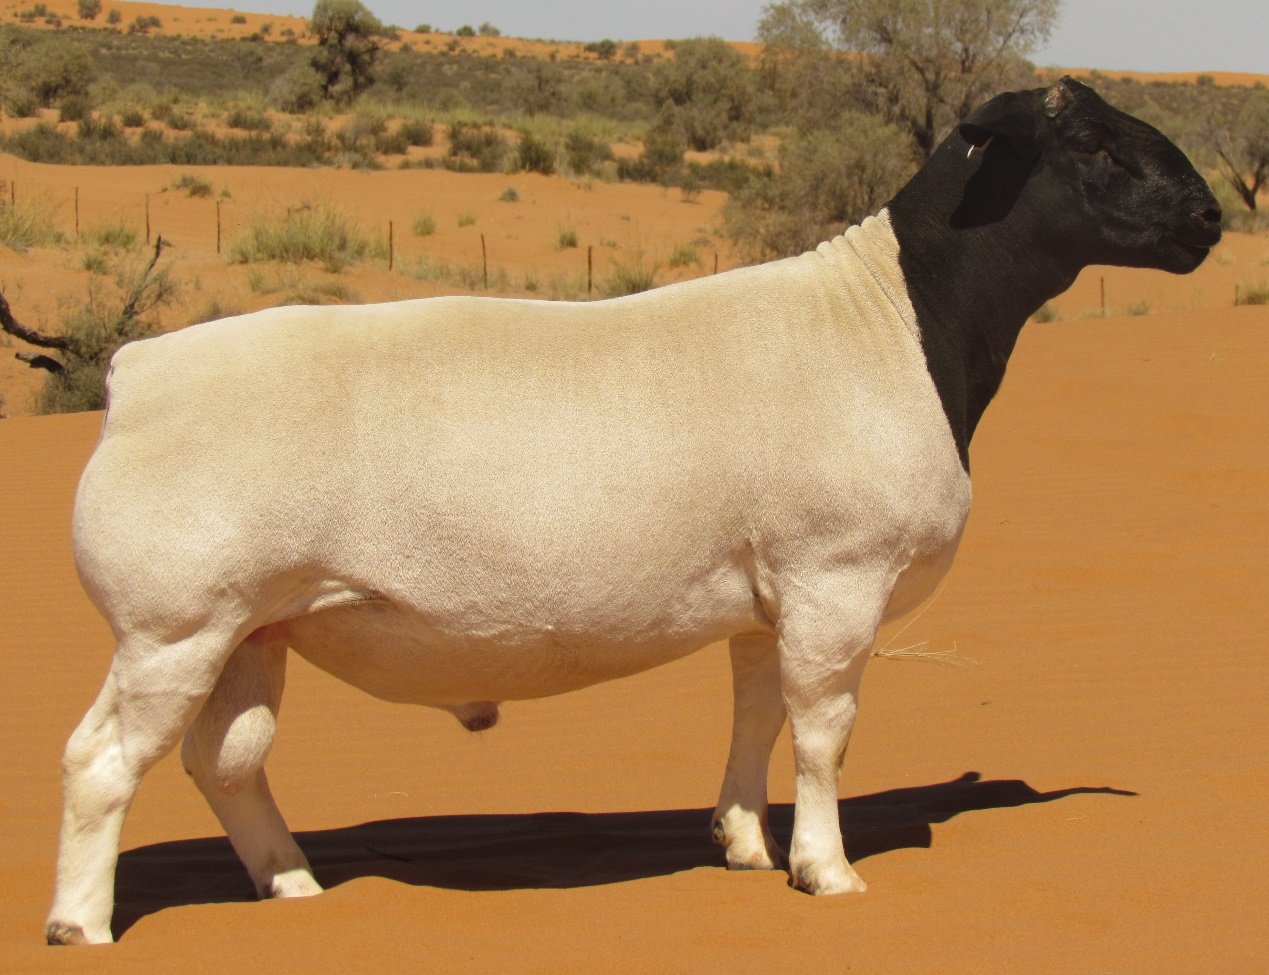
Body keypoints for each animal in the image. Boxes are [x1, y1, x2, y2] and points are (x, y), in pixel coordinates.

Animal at [46, 77, 1220, 944]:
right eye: (1097, 148)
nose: (1212, 215)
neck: (895, 316)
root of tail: (136, 368)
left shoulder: (767, 593)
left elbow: (757, 715)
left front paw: (743, 842)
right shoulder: (836, 577)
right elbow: (825, 731)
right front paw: (826, 870)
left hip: (252, 628)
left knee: (224, 760)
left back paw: (290, 884)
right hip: (173, 625)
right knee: (102, 762)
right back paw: (81, 924)